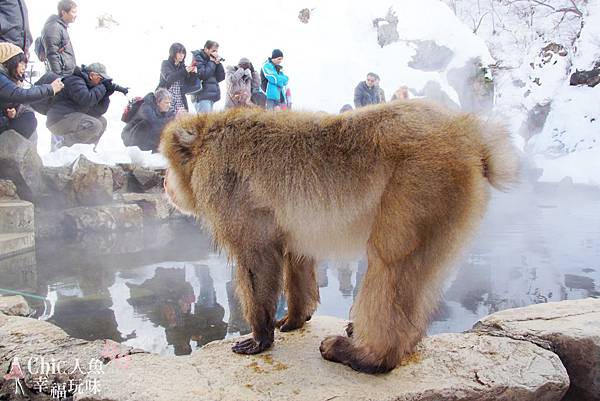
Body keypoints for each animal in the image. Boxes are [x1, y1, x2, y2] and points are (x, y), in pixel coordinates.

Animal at [161, 100, 520, 372]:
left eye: (168, 164)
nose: (164, 182)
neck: (209, 137)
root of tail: (468, 131)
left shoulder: (225, 189)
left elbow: (258, 256)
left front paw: (260, 336)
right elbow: (297, 254)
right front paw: (295, 318)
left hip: (424, 182)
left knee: (390, 262)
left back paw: (369, 356)